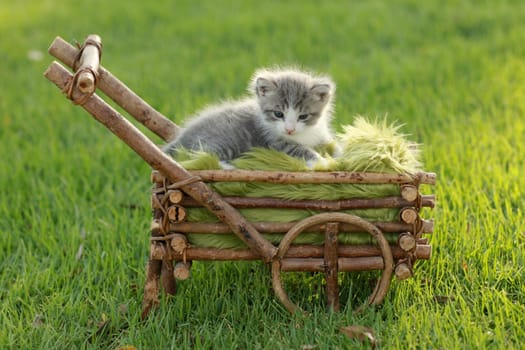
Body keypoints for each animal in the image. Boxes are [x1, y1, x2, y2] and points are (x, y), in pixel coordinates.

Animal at [163, 68, 336, 168]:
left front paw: (338, 155)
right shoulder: (275, 143)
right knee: (203, 156)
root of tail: (181, 139)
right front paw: (324, 162)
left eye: (303, 116)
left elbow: (331, 144)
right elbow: (299, 149)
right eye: (278, 114)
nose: (289, 129)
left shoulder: (320, 134)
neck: (303, 135)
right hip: (224, 139)